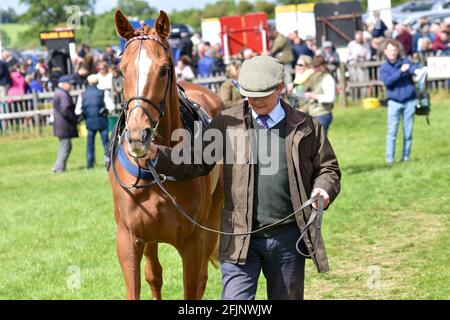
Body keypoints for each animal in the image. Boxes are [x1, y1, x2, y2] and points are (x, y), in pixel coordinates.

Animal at [110, 10, 225, 300]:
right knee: (155, 275)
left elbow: (193, 286)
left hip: (214, 217)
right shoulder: (128, 239)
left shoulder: (193, 242)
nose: (138, 134)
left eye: (163, 70)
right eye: (121, 70)